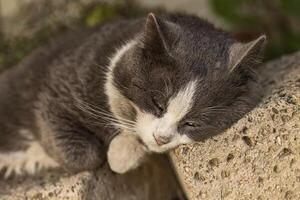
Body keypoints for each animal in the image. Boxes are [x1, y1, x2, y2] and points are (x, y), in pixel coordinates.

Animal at [0, 13, 266, 177]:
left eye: (193, 123)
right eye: (157, 103)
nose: (161, 138)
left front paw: (123, 150)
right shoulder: (57, 92)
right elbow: (85, 155)